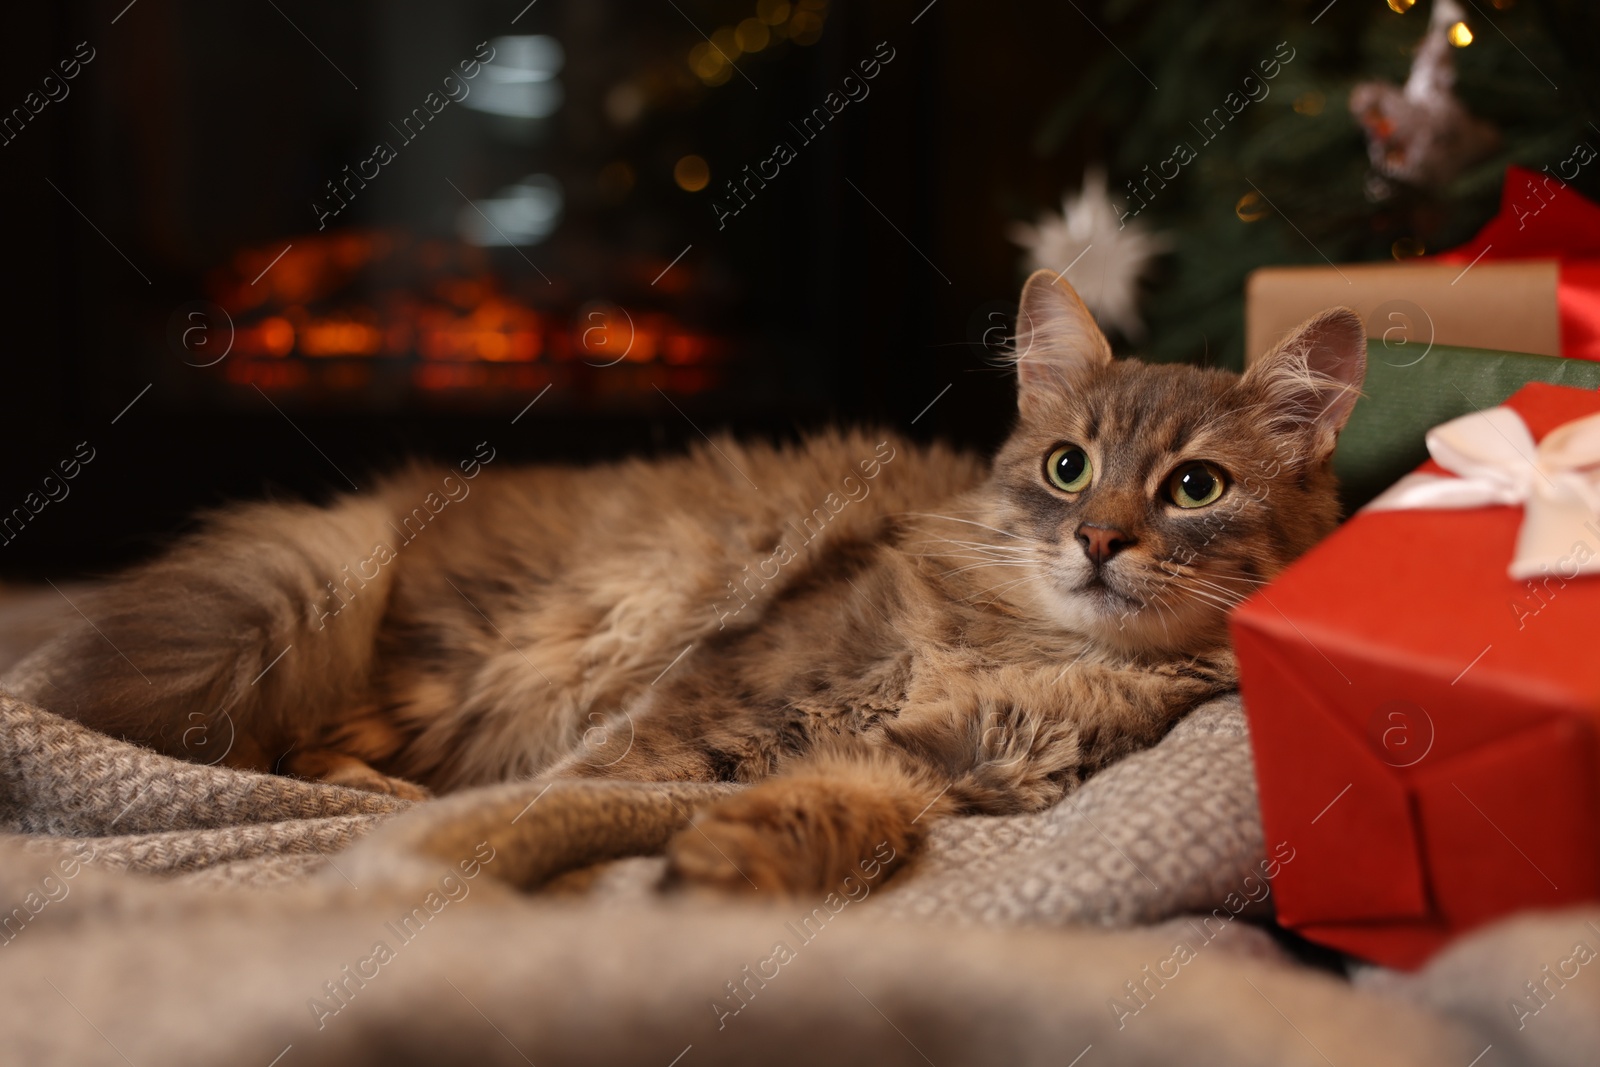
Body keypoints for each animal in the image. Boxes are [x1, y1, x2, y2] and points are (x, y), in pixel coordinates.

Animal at [6, 273, 1369, 895]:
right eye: (1067, 465)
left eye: (1194, 487)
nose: (1097, 540)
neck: (1036, 652)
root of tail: (397, 508)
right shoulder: (701, 705)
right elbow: (566, 795)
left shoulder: (928, 766)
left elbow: (849, 816)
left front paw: (729, 866)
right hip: (457, 636)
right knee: (297, 742)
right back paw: (379, 791)